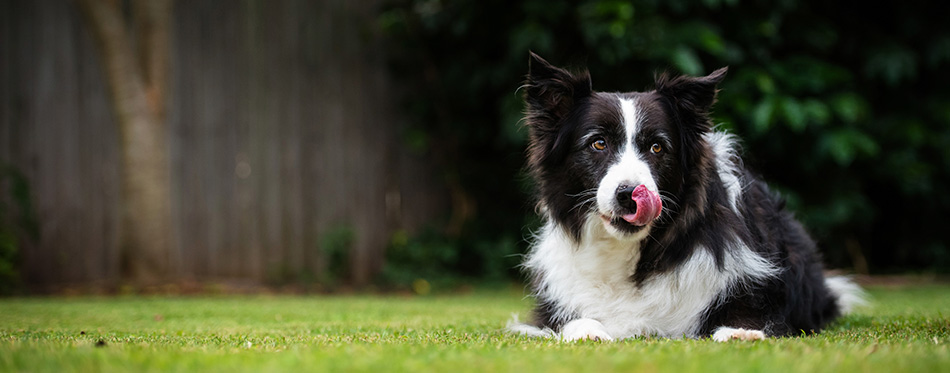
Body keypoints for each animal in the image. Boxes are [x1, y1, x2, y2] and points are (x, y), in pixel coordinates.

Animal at [510, 53, 868, 342]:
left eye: (657, 147)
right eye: (598, 143)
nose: (629, 195)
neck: (628, 251)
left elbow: (749, 310)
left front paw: (739, 332)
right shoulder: (555, 303)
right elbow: (568, 320)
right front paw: (587, 330)